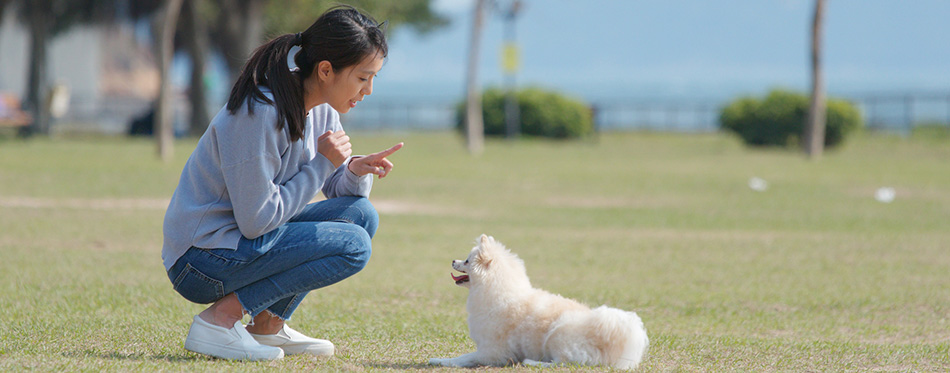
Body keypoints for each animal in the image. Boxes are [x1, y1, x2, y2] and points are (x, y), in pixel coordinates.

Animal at [430, 234, 648, 368]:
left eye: (467, 261)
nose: (453, 260)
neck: (497, 291)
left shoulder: (492, 351)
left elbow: (463, 358)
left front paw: (440, 360)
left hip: (558, 335)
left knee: (564, 362)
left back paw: (531, 362)